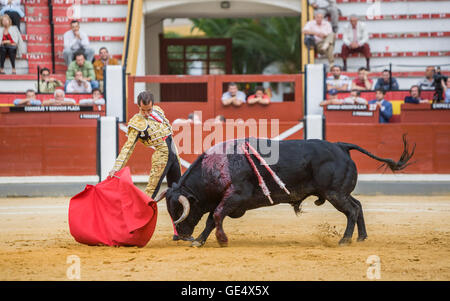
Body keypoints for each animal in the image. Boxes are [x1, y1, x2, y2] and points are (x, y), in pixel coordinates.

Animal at [155, 136, 414, 246]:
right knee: (358, 206)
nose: (181, 235)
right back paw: (361, 236)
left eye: (178, 210)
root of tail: (341, 146)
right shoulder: (226, 200)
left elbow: (216, 216)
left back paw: (345, 239)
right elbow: (212, 219)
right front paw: (200, 240)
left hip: (335, 194)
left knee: (351, 210)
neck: (218, 166)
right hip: (340, 192)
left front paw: (221, 240)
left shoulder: (235, 197)